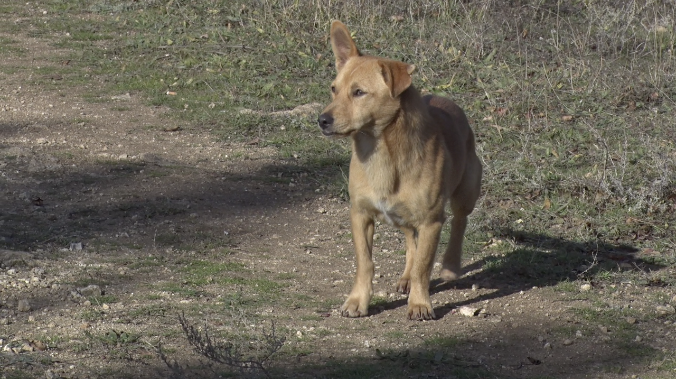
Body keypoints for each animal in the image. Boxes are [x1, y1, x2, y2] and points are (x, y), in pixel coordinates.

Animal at [316, 21, 480, 320]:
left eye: (359, 92)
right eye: (334, 89)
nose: (322, 120)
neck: (381, 153)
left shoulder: (431, 222)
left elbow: (424, 266)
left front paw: (420, 304)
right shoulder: (360, 215)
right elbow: (365, 263)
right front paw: (357, 301)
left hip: (466, 193)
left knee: (459, 222)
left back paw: (450, 266)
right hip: (404, 215)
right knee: (410, 240)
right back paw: (406, 277)